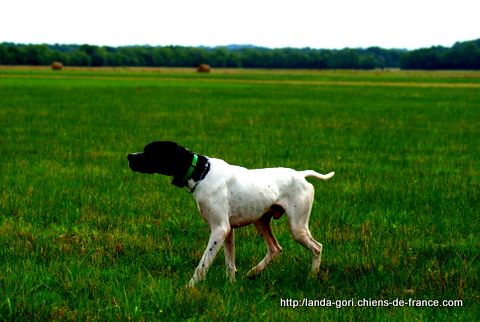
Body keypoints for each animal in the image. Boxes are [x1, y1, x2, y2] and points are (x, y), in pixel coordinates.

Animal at [126, 141, 334, 286]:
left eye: (150, 151)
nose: (129, 156)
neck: (202, 172)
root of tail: (301, 175)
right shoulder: (228, 232)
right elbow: (230, 265)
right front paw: (231, 285)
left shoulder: (220, 229)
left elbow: (203, 264)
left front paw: (190, 287)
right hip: (261, 222)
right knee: (275, 248)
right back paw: (254, 272)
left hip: (297, 227)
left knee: (317, 247)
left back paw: (312, 276)